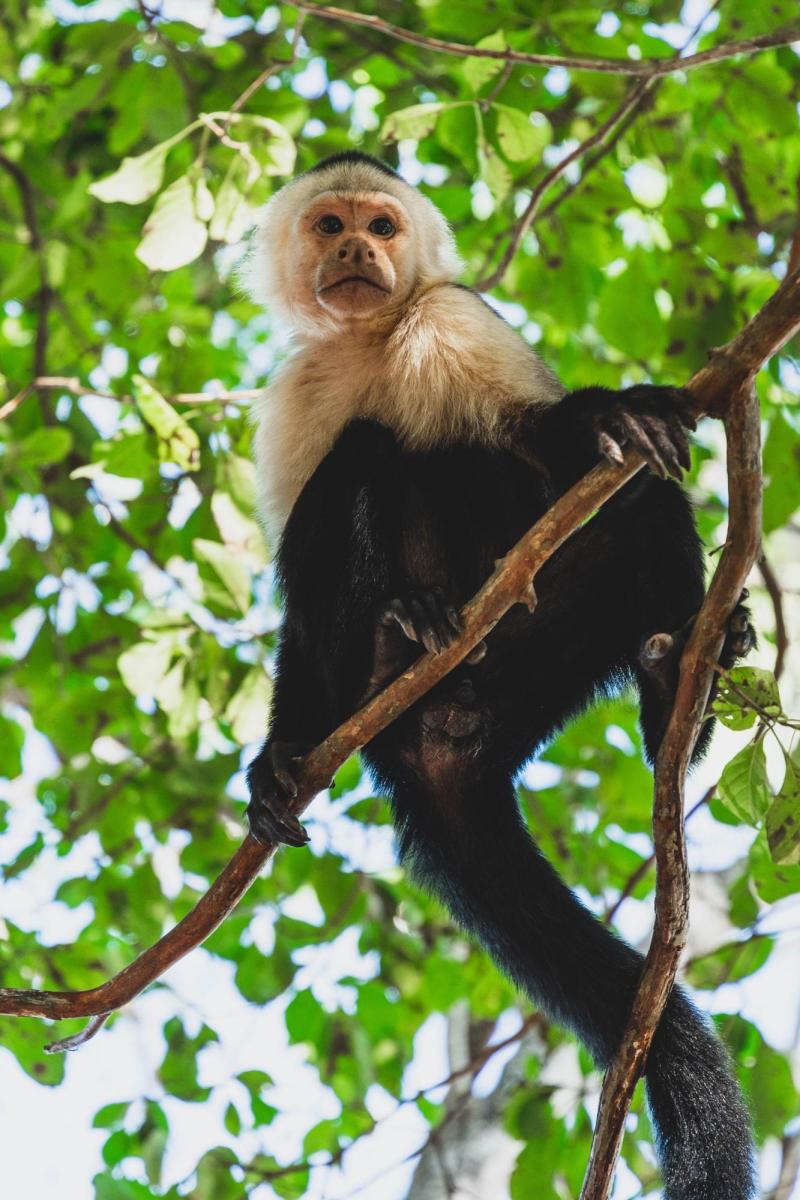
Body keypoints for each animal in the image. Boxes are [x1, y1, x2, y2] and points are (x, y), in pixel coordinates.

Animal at [241, 151, 757, 1200]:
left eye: (383, 227)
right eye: (328, 226)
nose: (356, 253)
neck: (370, 341)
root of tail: (442, 743)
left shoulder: (454, 317)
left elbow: (540, 437)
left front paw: (610, 415)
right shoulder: (295, 392)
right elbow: (298, 609)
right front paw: (279, 753)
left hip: (533, 671)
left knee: (629, 505)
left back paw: (674, 694)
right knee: (359, 463)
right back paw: (399, 635)